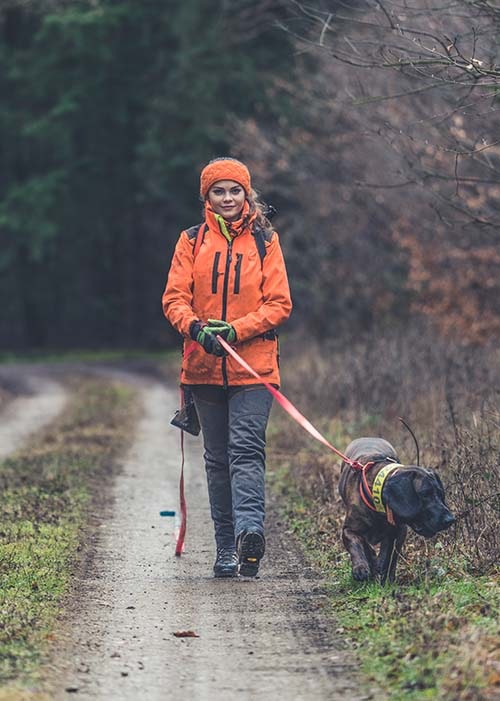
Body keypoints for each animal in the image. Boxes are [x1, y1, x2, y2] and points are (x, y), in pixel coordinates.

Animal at [338, 438, 456, 580]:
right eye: (425, 494)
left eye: (440, 494)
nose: (450, 519)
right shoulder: (348, 530)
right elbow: (357, 544)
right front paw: (361, 567)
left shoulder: (398, 531)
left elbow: (388, 554)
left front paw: (382, 571)